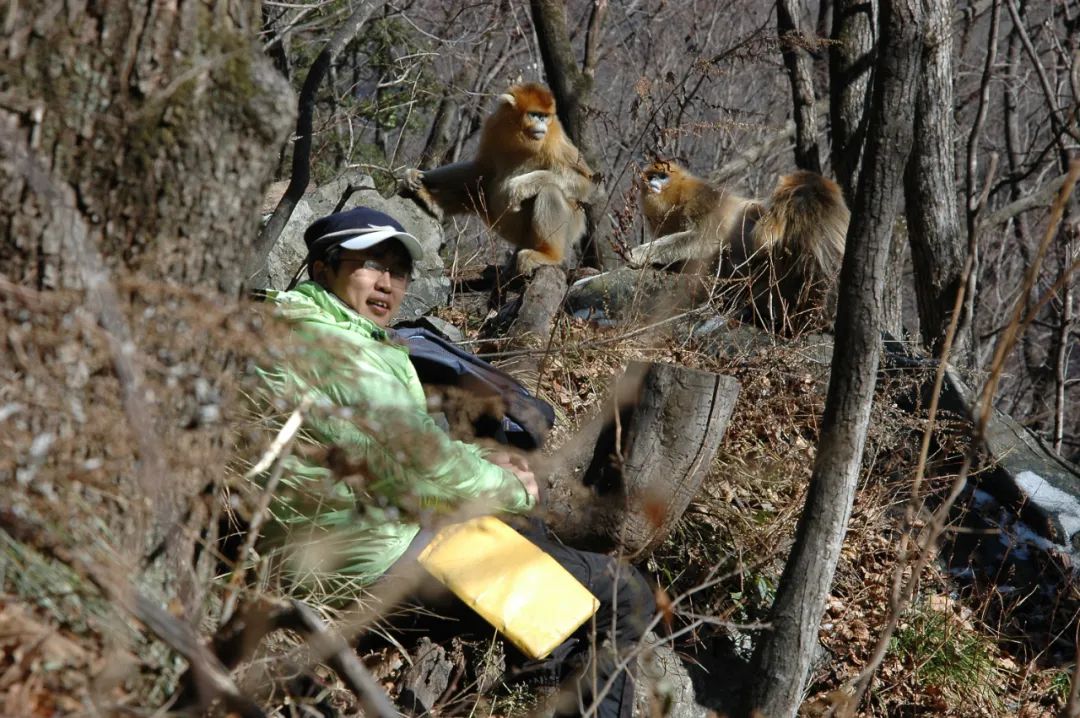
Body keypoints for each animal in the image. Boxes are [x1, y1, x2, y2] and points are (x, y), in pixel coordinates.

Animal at [401, 83, 599, 273]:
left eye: (544, 116)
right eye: (535, 115)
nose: (541, 123)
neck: (520, 137)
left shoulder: (554, 137)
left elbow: (586, 183)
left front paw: (517, 186)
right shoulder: (493, 126)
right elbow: (480, 169)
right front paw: (418, 175)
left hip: (571, 225)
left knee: (550, 190)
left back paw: (549, 255)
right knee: (479, 185)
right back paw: (429, 200)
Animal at [631, 159, 850, 331]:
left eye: (662, 176)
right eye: (651, 176)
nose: (653, 182)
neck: (675, 199)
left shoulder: (700, 197)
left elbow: (703, 239)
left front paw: (636, 254)